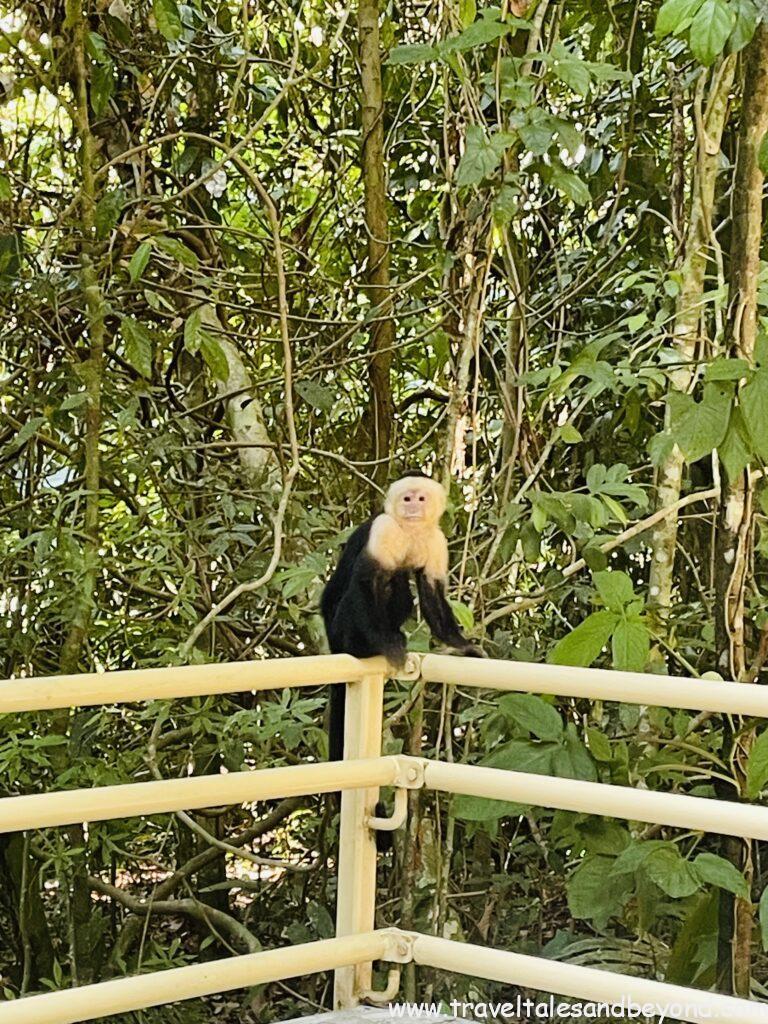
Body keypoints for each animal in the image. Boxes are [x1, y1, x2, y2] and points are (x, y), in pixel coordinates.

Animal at [321, 472, 483, 760]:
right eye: (407, 498)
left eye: (421, 498)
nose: (413, 507)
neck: (411, 531)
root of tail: (333, 642)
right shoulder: (384, 528)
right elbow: (366, 581)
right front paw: (386, 643)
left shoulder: (436, 539)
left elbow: (431, 591)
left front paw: (462, 645)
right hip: (341, 630)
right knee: (375, 584)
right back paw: (371, 646)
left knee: (400, 586)